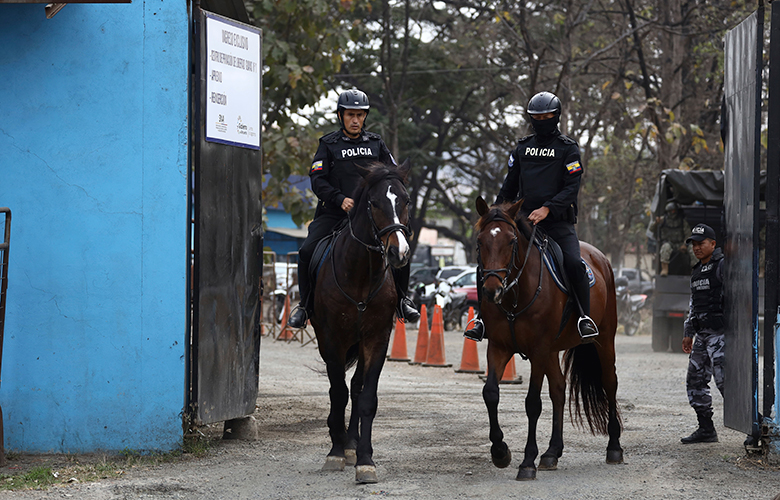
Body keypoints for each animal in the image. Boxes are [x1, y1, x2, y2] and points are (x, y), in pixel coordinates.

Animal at [310, 159, 414, 484]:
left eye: (406, 200)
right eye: (374, 202)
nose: (399, 253)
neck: (359, 273)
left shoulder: (377, 339)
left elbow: (366, 397)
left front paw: (365, 460)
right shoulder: (332, 339)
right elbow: (338, 393)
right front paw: (335, 452)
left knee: (356, 386)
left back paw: (352, 443)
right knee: (342, 389)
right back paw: (342, 442)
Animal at [472, 195, 624, 480]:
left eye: (511, 241)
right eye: (480, 241)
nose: (491, 290)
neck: (516, 294)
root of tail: (601, 258)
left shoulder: (539, 350)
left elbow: (532, 403)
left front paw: (527, 462)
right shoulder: (499, 346)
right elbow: (491, 393)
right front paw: (500, 451)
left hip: (604, 339)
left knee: (609, 383)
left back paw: (614, 447)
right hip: (553, 351)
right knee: (559, 390)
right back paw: (552, 452)